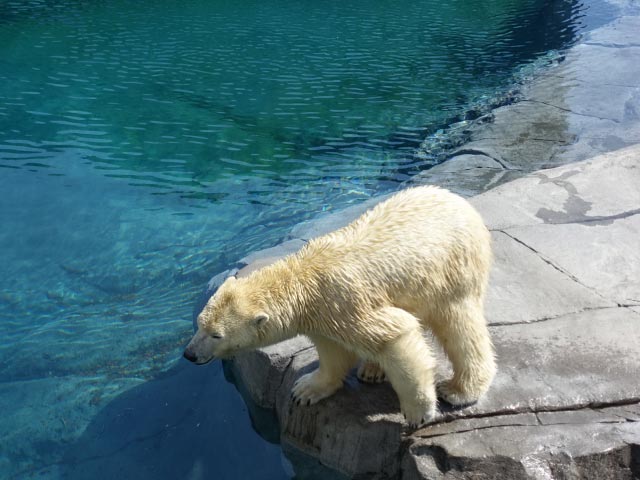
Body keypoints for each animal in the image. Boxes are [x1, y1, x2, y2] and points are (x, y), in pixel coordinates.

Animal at [184, 186, 496, 426]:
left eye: (217, 335)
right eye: (199, 324)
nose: (189, 354)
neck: (304, 280)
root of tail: (456, 199)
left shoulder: (344, 302)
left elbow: (397, 333)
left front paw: (418, 412)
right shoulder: (325, 317)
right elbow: (333, 351)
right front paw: (306, 390)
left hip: (452, 270)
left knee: (458, 325)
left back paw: (459, 389)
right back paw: (372, 370)